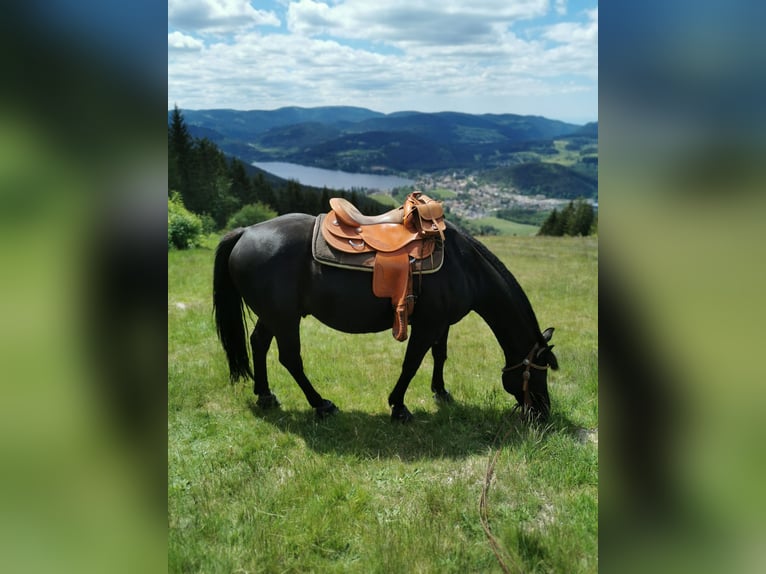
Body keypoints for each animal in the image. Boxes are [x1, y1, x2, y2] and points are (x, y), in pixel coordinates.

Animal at [213, 214, 558, 422]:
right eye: (538, 373)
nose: (542, 412)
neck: (465, 266)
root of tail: (245, 232)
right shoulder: (427, 324)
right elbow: (412, 362)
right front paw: (399, 406)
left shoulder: (442, 323)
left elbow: (440, 355)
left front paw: (441, 392)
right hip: (284, 318)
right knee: (290, 358)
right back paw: (321, 404)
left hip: (273, 315)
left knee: (258, 344)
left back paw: (265, 395)